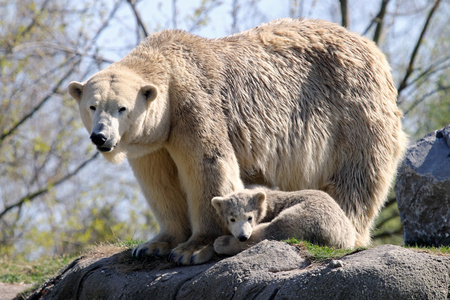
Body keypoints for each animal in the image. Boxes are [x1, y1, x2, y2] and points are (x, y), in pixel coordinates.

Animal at [68, 18, 406, 264]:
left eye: (121, 107)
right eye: (92, 106)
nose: (101, 137)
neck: (171, 66)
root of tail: (373, 49)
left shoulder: (195, 107)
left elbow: (208, 166)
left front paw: (194, 249)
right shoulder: (155, 141)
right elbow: (160, 184)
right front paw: (154, 245)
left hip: (352, 113)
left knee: (355, 178)